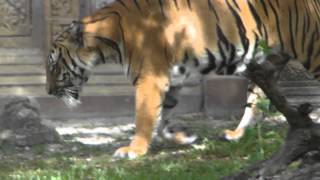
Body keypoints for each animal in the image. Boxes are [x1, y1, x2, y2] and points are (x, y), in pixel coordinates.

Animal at [45, 0, 320, 158]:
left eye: (54, 65)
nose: (47, 91)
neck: (110, 39)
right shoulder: (171, 79)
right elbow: (161, 119)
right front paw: (184, 137)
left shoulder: (150, 79)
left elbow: (143, 116)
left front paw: (134, 150)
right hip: (267, 65)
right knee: (257, 101)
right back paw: (237, 134)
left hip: (310, 48)